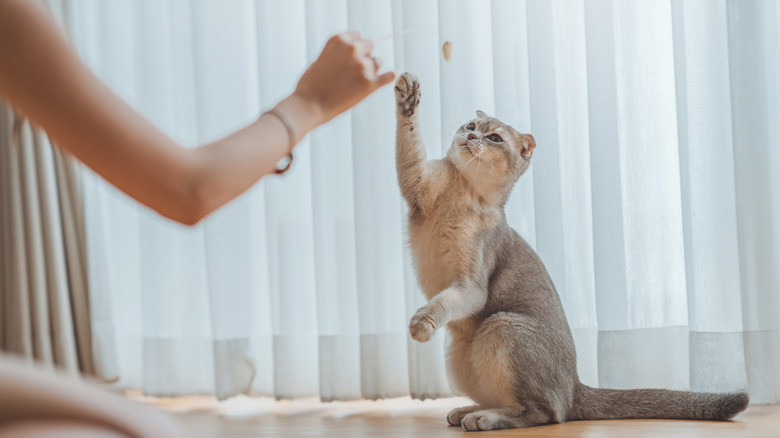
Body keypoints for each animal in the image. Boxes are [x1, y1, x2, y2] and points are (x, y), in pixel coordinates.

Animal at [396, 72, 748, 432]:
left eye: (493, 137)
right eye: (471, 125)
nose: (470, 135)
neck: (464, 193)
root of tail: (575, 385)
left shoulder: (471, 286)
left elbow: (441, 303)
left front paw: (421, 323)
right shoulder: (418, 184)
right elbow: (409, 144)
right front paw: (407, 97)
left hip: (502, 325)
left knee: (546, 412)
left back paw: (484, 417)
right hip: (459, 352)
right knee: (519, 402)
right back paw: (468, 410)